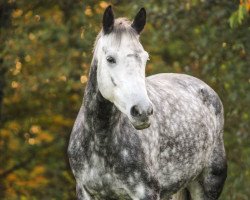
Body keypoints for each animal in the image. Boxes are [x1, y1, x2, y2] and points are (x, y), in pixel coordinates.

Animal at [68, 5, 227, 200]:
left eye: (145, 58)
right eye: (110, 59)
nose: (142, 111)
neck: (100, 141)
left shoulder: (146, 192)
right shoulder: (85, 191)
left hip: (207, 185)